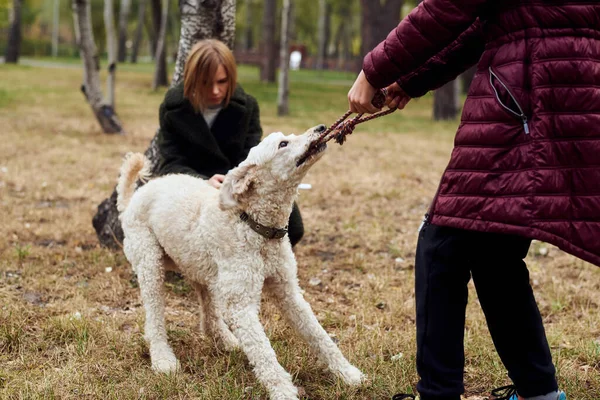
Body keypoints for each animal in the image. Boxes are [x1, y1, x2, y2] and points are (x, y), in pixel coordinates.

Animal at [115, 126, 364, 400]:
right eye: (283, 144)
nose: (320, 128)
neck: (253, 225)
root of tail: (131, 200)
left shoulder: (288, 291)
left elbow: (318, 334)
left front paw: (348, 374)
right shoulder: (241, 306)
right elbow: (263, 352)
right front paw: (283, 391)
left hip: (198, 265)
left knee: (208, 310)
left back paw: (224, 340)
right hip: (150, 263)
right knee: (154, 316)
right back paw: (163, 359)